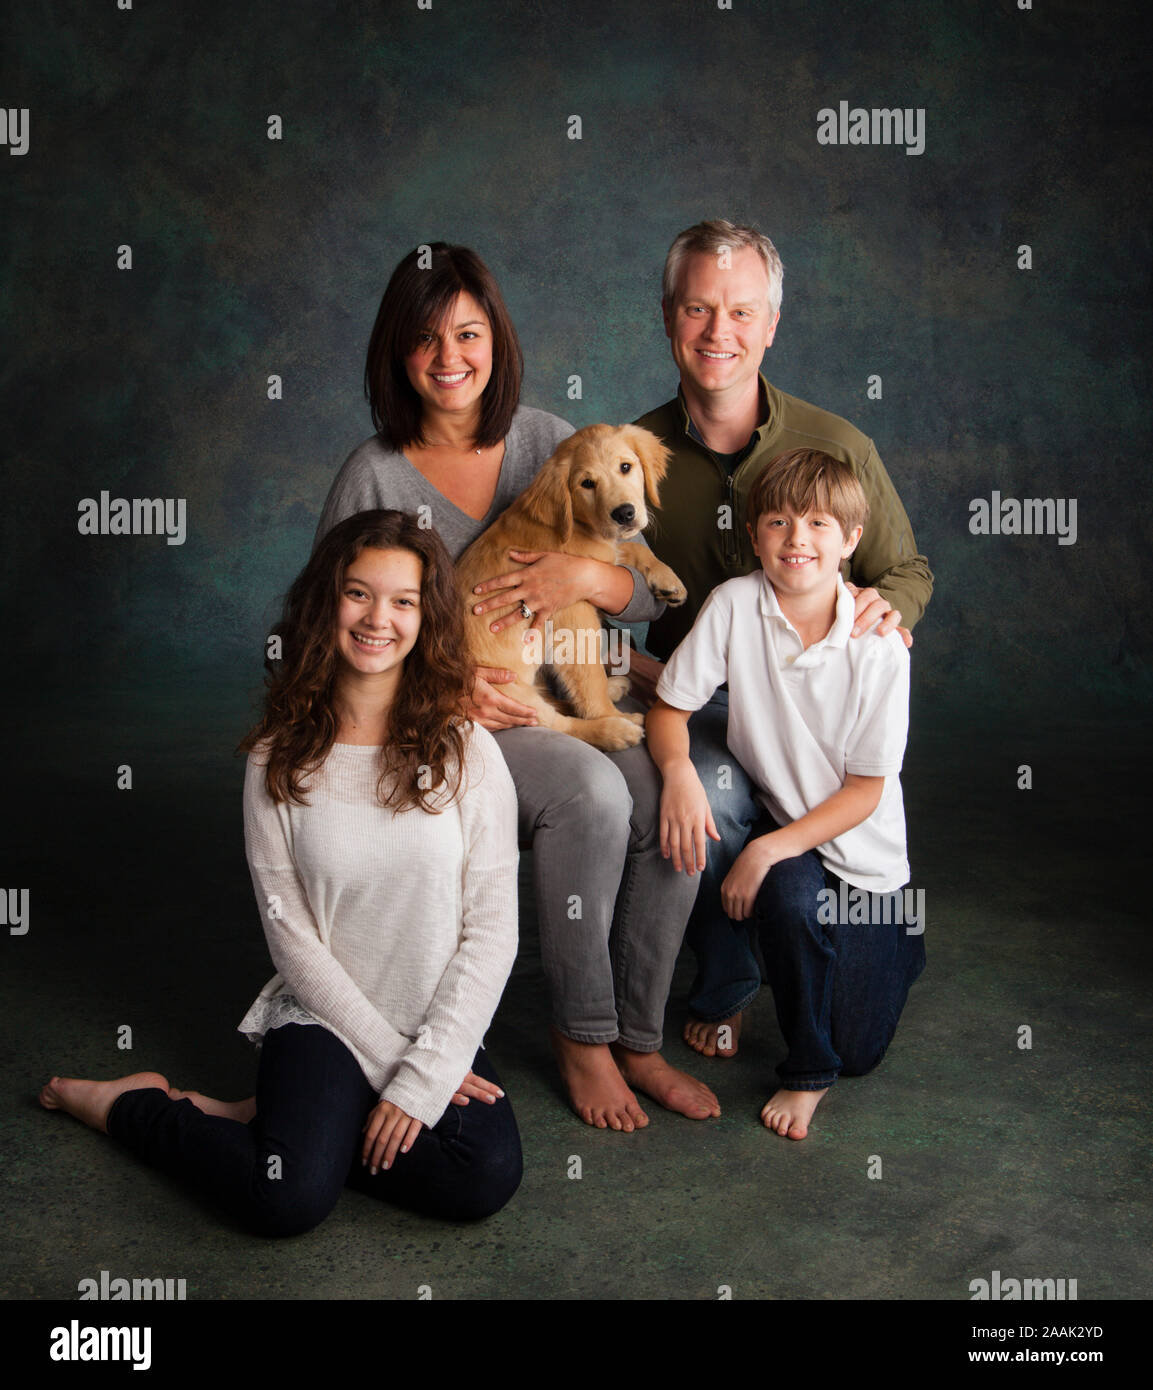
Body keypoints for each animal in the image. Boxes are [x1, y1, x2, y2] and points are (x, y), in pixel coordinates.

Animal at [453, 422, 684, 750]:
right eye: (587, 484)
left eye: (626, 467)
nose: (624, 513)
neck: (577, 525)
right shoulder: (574, 618)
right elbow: (589, 681)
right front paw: (610, 715)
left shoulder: (599, 560)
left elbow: (628, 550)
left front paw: (668, 580)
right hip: (507, 692)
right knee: (557, 723)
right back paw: (615, 728)